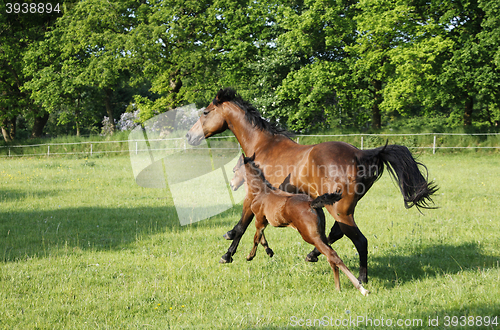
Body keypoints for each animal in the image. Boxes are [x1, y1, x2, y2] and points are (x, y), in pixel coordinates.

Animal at [244, 155, 370, 296]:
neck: (261, 190)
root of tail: (312, 203)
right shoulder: (263, 221)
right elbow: (261, 236)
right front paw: (268, 251)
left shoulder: (259, 219)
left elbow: (256, 237)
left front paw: (250, 256)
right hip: (320, 235)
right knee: (331, 258)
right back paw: (338, 287)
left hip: (310, 237)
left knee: (333, 256)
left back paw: (361, 288)